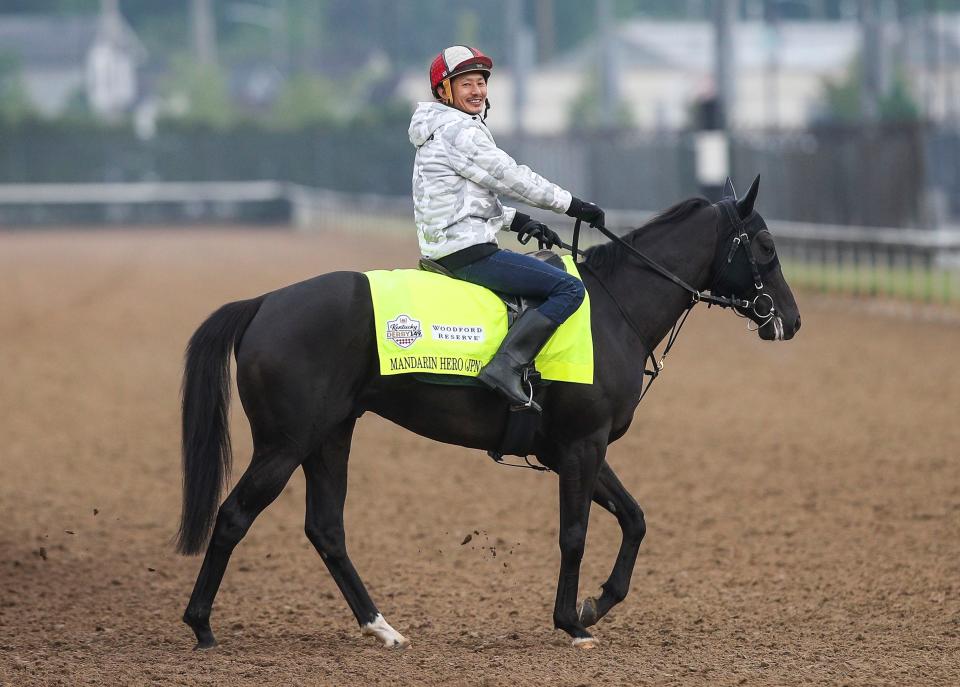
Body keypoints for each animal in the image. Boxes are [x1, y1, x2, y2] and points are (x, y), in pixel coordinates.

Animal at [174, 176, 804, 652]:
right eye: (765, 246)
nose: (791, 320)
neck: (613, 309)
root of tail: (264, 303)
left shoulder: (578, 447)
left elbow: (635, 518)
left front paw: (596, 604)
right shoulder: (582, 445)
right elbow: (574, 533)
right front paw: (571, 622)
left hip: (329, 437)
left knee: (326, 529)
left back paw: (383, 628)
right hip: (284, 444)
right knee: (233, 517)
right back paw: (201, 625)